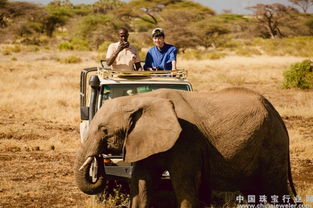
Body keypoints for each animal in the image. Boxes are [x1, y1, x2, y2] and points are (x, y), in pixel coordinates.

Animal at [74, 87, 296, 207]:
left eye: (104, 130)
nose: (99, 162)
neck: (140, 99)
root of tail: (277, 114)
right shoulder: (145, 138)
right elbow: (141, 182)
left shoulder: (187, 139)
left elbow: (183, 184)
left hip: (272, 145)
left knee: (275, 188)